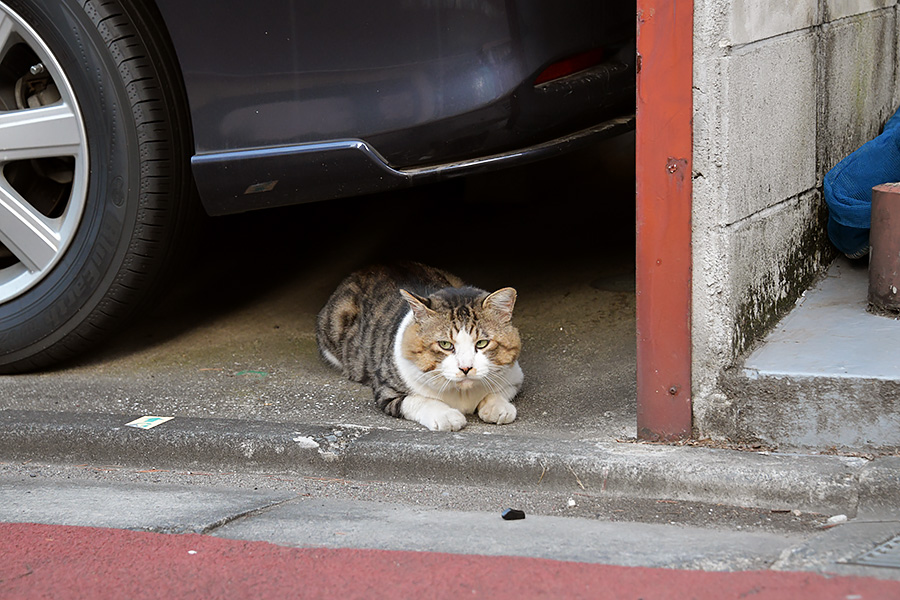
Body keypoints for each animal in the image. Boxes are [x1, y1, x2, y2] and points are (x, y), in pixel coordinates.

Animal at [318, 264, 524, 432]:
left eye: (482, 343)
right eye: (445, 344)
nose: (466, 368)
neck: (463, 393)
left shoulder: (515, 376)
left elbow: (499, 391)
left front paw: (497, 407)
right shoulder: (386, 389)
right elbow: (419, 400)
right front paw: (447, 416)